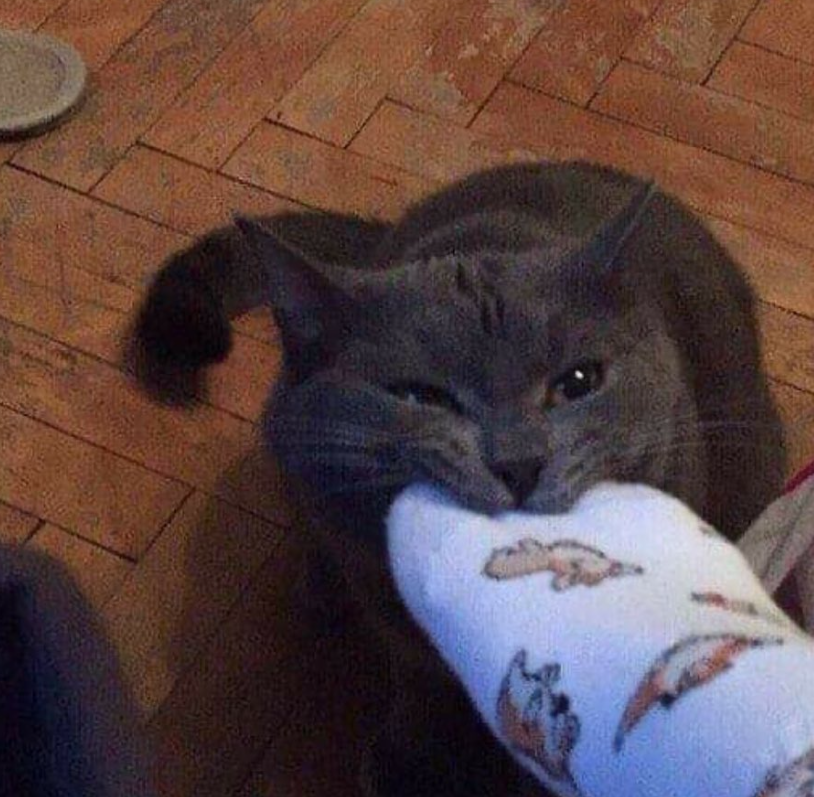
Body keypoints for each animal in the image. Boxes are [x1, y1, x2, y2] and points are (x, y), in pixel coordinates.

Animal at [128, 160, 786, 796]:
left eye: (578, 381)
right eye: (421, 397)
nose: (519, 461)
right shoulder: (392, 611)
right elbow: (421, 683)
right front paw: (412, 763)